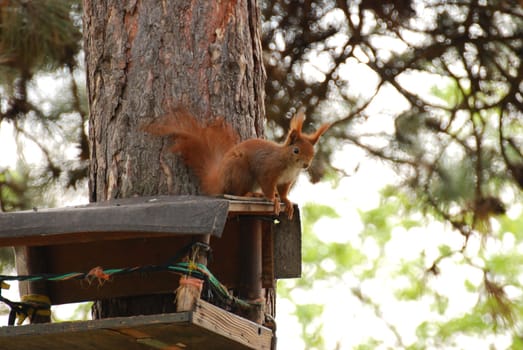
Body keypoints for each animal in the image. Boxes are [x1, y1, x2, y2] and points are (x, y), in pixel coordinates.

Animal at [145, 109, 330, 219]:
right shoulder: (268, 170)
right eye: (296, 150)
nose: (306, 165)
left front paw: (287, 202)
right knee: (236, 191)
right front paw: (274, 200)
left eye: (313, 153)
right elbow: (268, 187)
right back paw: (251, 195)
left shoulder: (286, 180)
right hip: (241, 172)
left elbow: (284, 192)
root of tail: (219, 180)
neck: (290, 165)